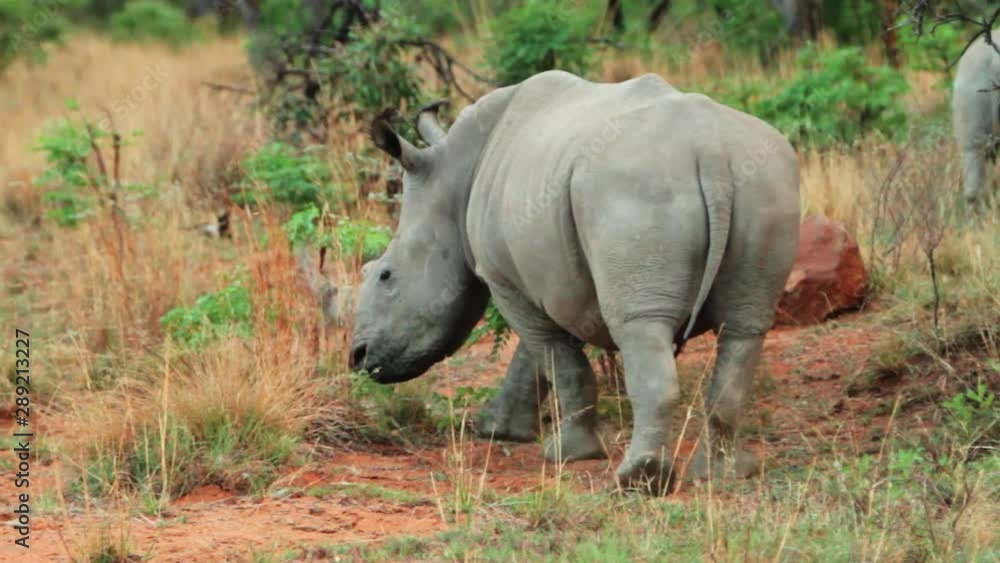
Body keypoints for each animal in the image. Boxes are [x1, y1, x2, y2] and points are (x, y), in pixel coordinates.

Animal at [349, 71, 800, 494]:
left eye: (385, 275)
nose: (358, 358)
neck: (453, 180)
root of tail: (710, 151)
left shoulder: (505, 278)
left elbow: (557, 360)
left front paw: (565, 455)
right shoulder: (545, 278)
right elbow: (538, 357)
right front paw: (497, 429)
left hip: (632, 192)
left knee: (640, 325)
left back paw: (639, 481)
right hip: (765, 181)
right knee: (744, 328)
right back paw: (725, 475)